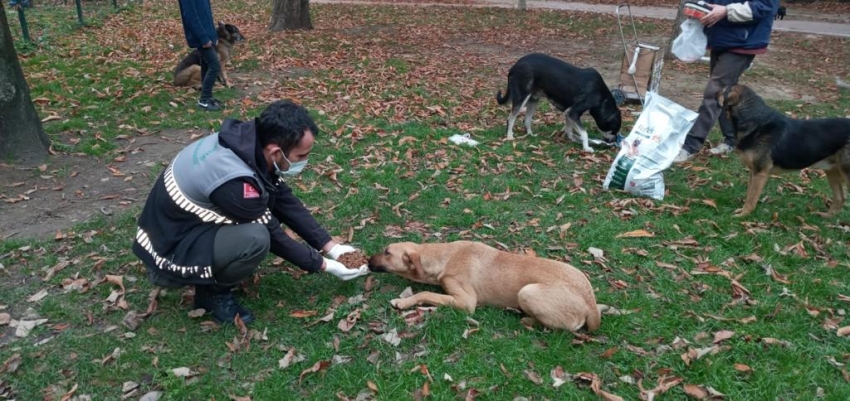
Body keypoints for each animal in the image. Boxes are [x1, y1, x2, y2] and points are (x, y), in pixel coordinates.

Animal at [368, 241, 600, 332]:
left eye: (387, 252)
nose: (367, 261)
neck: (445, 257)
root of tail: (591, 304)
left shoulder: (466, 302)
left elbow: (424, 292)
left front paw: (402, 301)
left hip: (527, 291)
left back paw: (526, 318)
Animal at [716, 83, 848, 216]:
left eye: (723, 90)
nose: (714, 91)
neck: (756, 120)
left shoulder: (760, 173)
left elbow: (751, 199)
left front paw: (743, 215)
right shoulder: (753, 172)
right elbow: (749, 194)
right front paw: (742, 212)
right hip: (832, 171)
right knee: (840, 198)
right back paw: (826, 217)